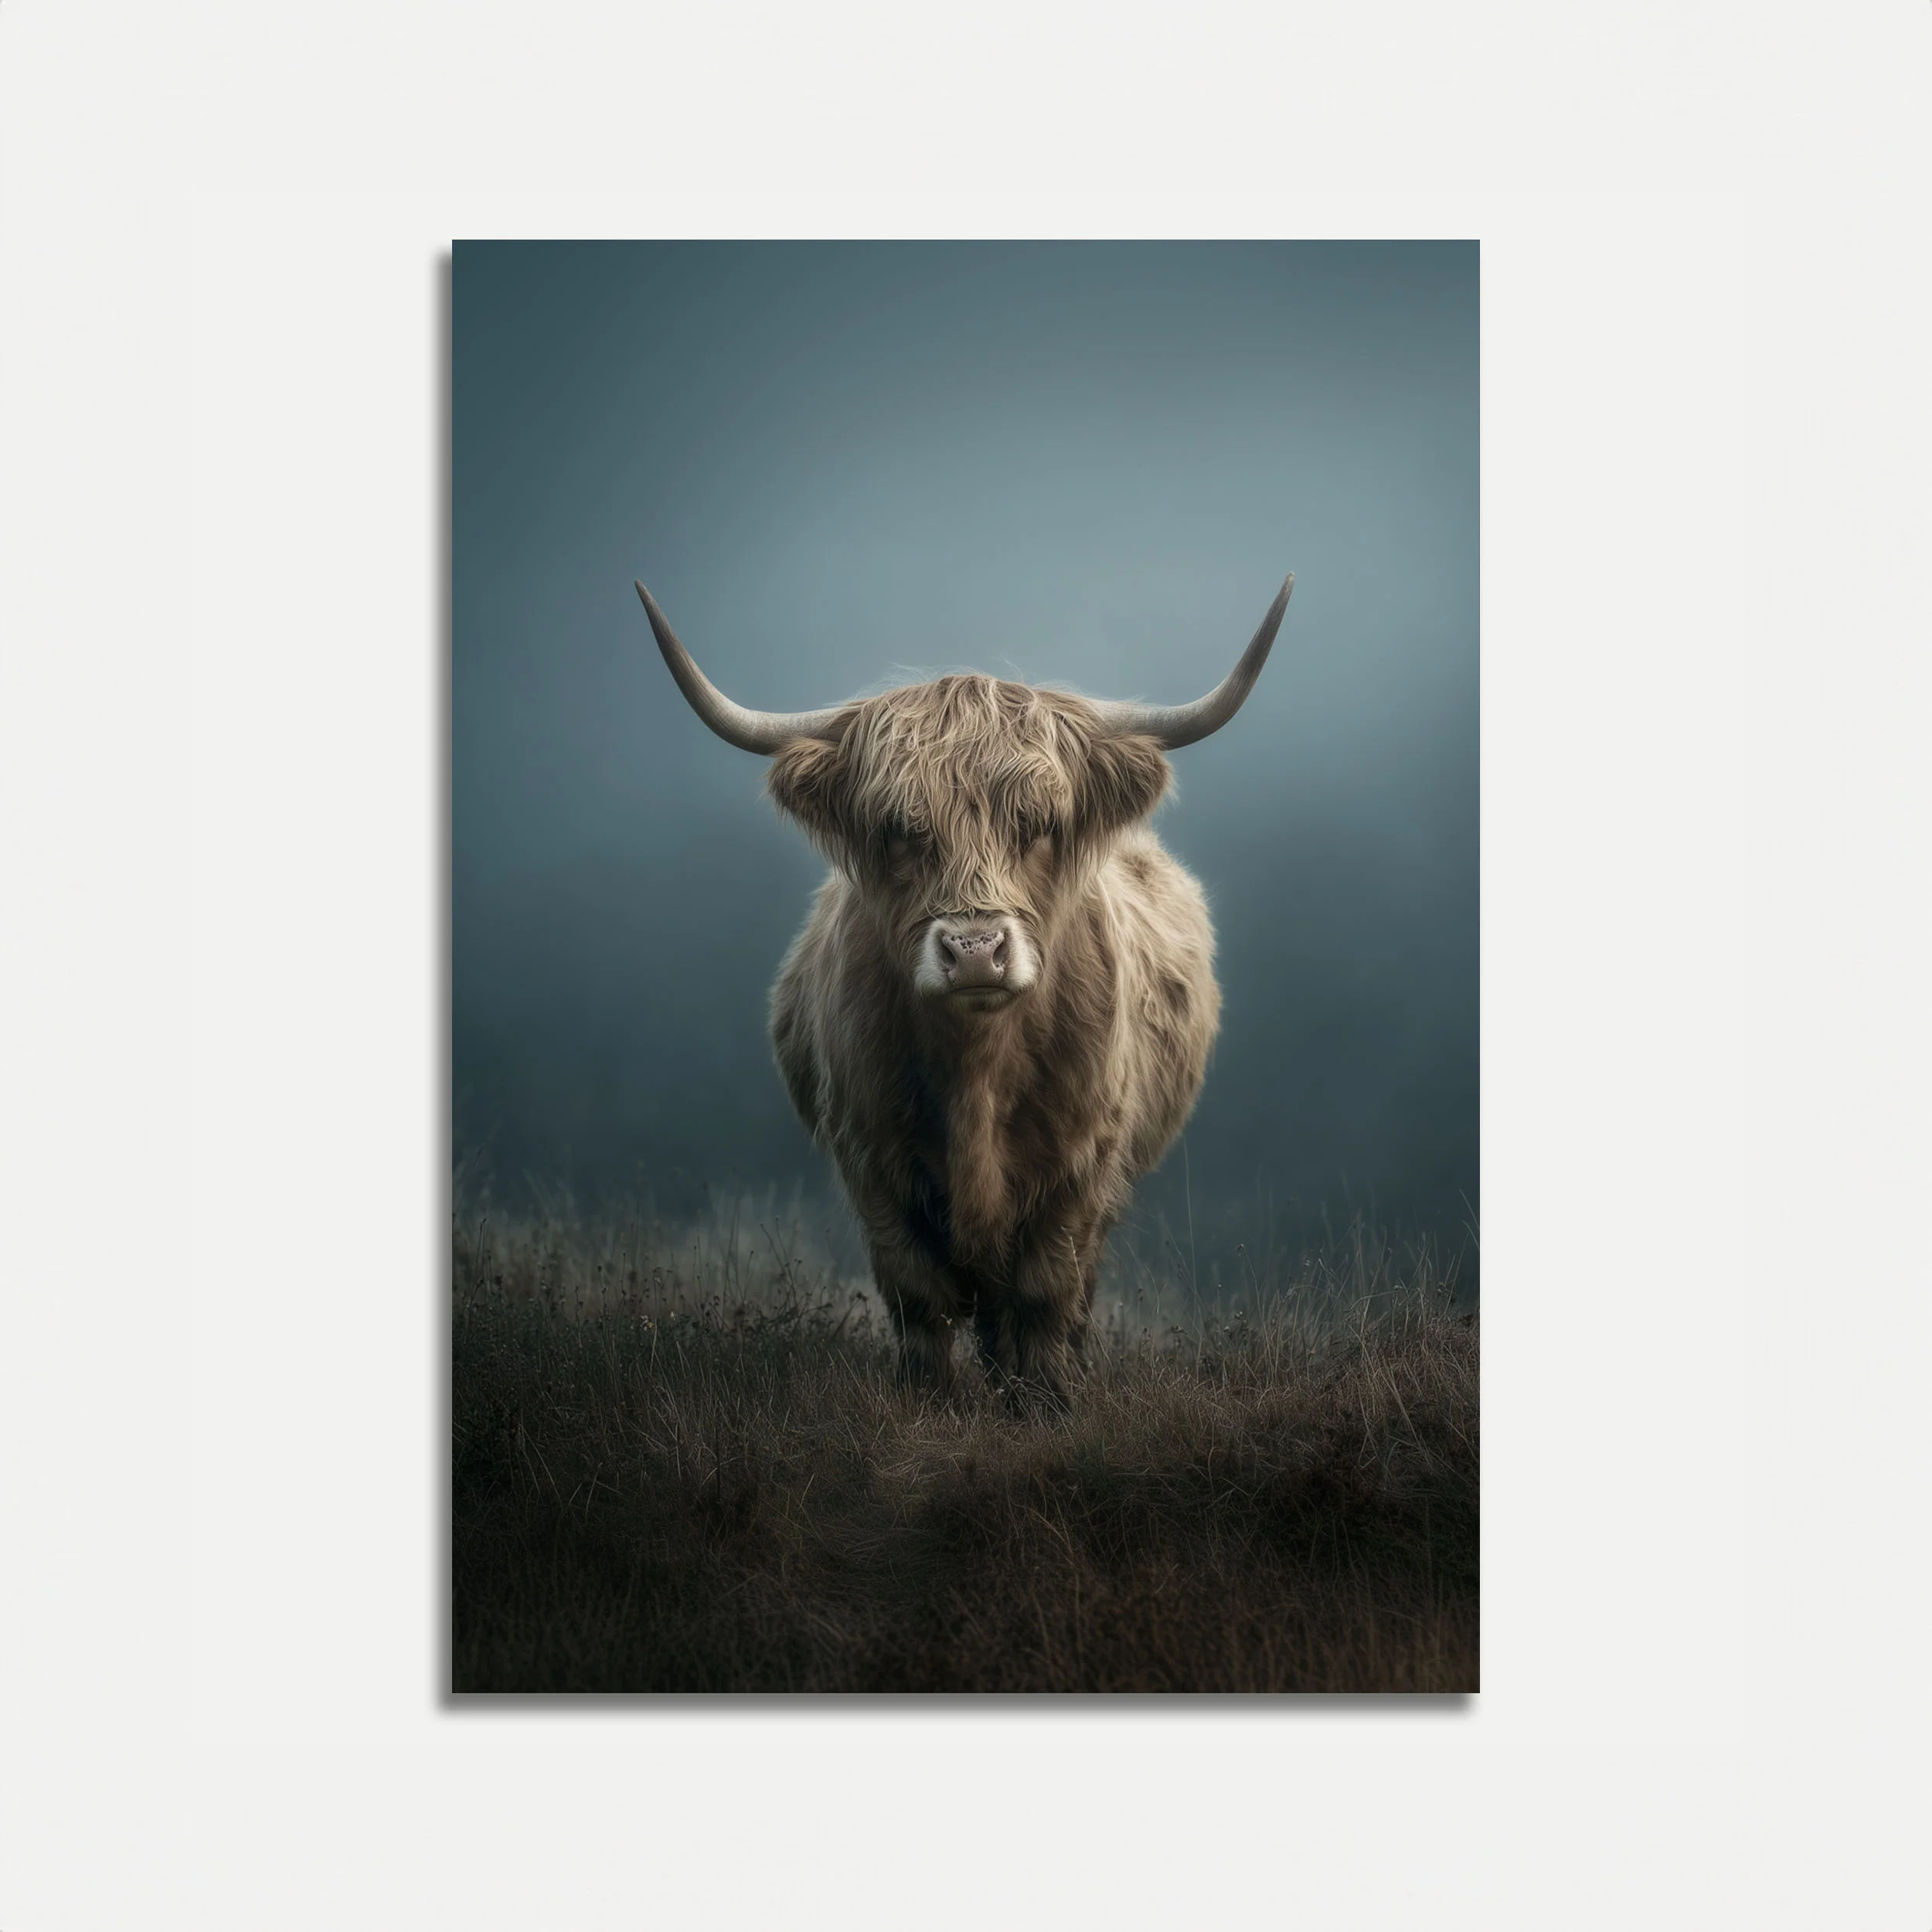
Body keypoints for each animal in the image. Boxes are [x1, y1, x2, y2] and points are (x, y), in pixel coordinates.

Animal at [635, 574, 1293, 1409]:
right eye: (897, 828)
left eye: (1039, 822)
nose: (976, 952)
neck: (977, 1072)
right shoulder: (871, 1157)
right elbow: (918, 1296)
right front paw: (931, 1399)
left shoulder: (1082, 1162)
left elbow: (1044, 1291)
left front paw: (1044, 1401)